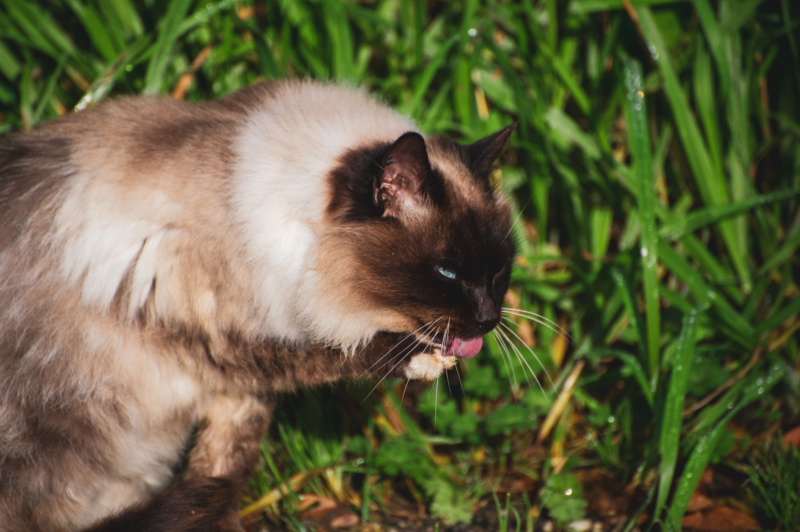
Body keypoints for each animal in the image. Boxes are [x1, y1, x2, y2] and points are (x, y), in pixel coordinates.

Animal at [0, 80, 512, 532]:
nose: (487, 320)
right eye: (447, 272)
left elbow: (224, 467)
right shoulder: (228, 345)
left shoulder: (243, 385)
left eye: (498, 273)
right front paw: (414, 359)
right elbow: (337, 357)